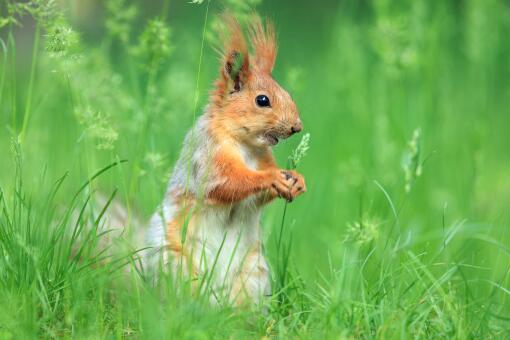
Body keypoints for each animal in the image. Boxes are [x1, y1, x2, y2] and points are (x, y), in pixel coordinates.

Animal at [142, 14, 306, 306]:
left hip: (252, 272)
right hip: (175, 266)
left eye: (287, 93)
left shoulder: (262, 157)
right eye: (262, 100)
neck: (245, 145)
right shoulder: (208, 156)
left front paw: (296, 180)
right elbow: (227, 184)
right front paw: (271, 178)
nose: (296, 127)